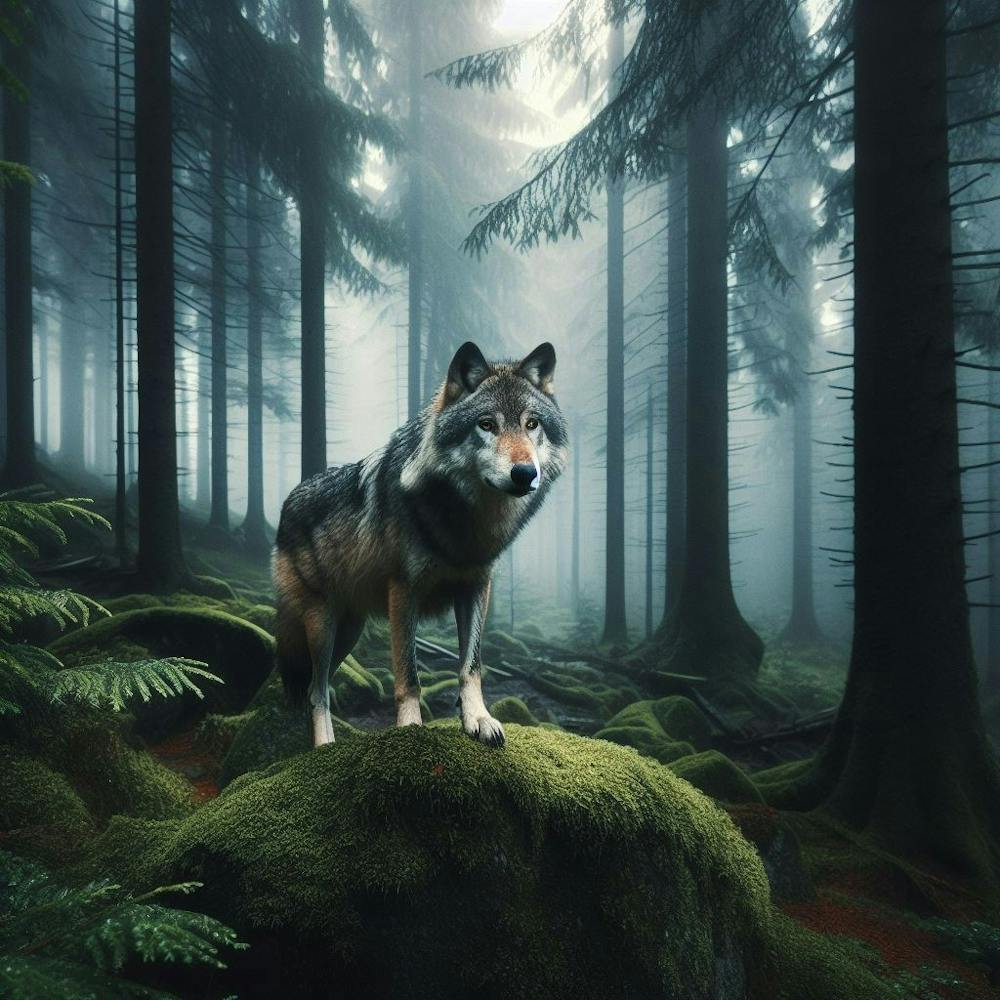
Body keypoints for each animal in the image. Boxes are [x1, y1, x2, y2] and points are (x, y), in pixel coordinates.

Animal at [274, 341, 568, 749]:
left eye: (531, 424)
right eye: (487, 424)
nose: (525, 473)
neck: (464, 520)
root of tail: (286, 502)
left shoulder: (476, 588)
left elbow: (471, 665)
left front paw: (478, 719)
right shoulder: (403, 591)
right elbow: (408, 674)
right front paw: (411, 728)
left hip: (349, 631)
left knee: (316, 688)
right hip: (321, 624)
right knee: (316, 692)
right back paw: (324, 747)